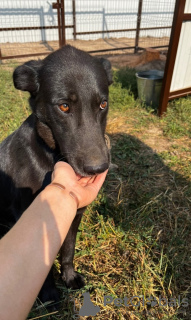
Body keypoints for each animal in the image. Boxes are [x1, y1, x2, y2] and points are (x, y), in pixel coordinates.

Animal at [0, 44, 112, 302]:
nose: (98, 168)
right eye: (64, 106)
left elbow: (68, 250)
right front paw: (50, 294)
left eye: (103, 104)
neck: (52, 156)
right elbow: (44, 264)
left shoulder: (74, 213)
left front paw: (68, 277)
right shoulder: (31, 220)